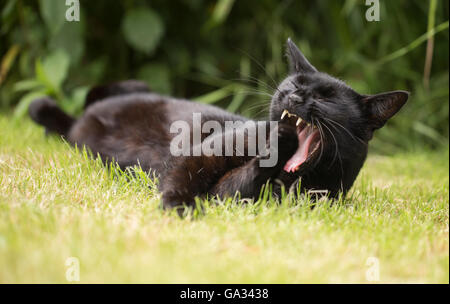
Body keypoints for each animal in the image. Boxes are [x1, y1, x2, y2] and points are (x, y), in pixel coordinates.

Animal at [28, 38, 408, 213]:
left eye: (326, 97)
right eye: (293, 83)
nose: (294, 95)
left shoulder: (232, 195)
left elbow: (239, 183)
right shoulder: (205, 155)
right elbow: (185, 177)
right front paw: (176, 210)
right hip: (130, 86)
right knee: (84, 96)